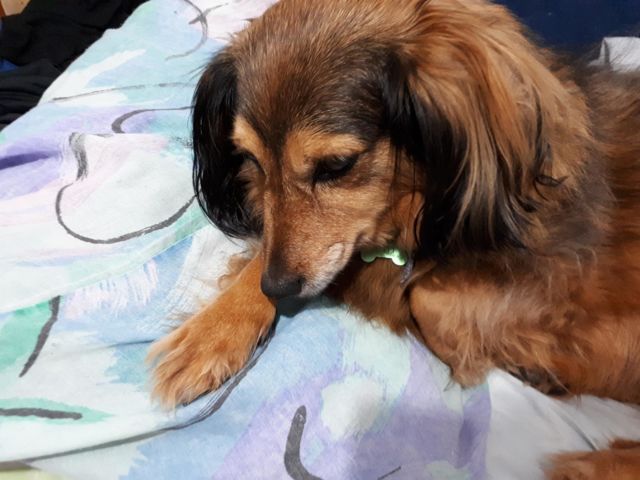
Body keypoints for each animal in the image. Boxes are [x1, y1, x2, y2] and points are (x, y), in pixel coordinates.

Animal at [148, 0, 640, 477]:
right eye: (249, 158)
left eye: (337, 166)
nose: (279, 289)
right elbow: (277, 252)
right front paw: (213, 331)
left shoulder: (548, 274)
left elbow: (426, 299)